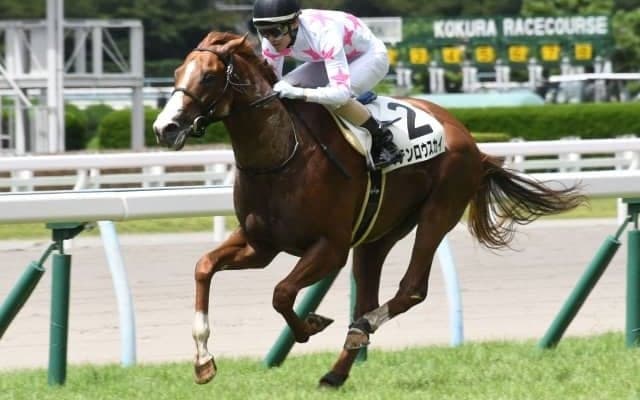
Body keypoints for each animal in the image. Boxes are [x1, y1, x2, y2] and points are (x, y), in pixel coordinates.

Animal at [152, 31, 584, 388]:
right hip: (378, 235)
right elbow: (204, 267)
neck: (281, 155)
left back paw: (360, 329)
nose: (165, 128)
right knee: (369, 293)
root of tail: (470, 140)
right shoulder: (261, 244)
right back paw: (336, 373)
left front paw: (310, 325)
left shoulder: (330, 247)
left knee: (409, 290)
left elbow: (282, 292)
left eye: (209, 77)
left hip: (438, 212)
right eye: (177, 71)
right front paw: (203, 362)